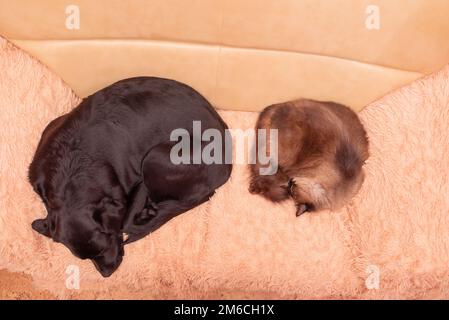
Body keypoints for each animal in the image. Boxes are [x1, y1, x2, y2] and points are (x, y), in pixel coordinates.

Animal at [28, 76, 231, 276]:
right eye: (85, 259)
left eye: (103, 247)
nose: (107, 273)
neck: (69, 170)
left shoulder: (138, 183)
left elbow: (125, 222)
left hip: (155, 157)